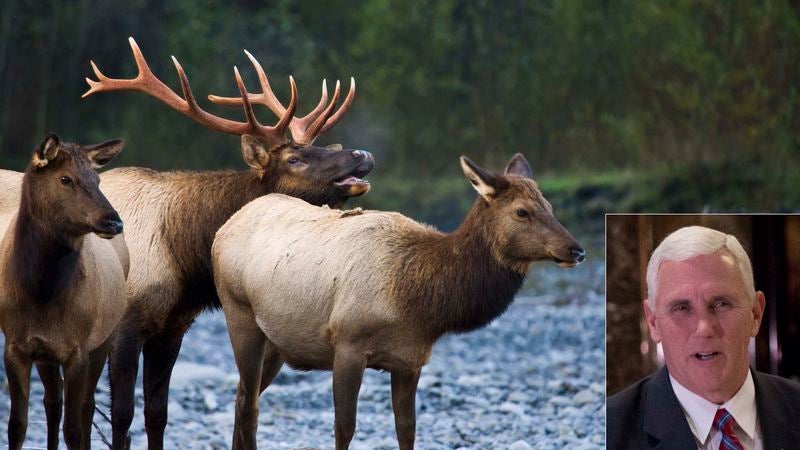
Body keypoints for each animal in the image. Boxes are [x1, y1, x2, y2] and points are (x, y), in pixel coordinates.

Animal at [0, 134, 127, 450]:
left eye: (97, 179)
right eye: (65, 178)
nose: (114, 222)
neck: (42, 295)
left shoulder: (78, 348)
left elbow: (73, 428)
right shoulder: (17, 344)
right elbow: (16, 426)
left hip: (105, 336)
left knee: (87, 406)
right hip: (47, 355)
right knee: (52, 403)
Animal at [80, 38, 372, 450]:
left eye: (330, 147)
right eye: (294, 158)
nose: (362, 154)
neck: (185, 258)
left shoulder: (173, 327)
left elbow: (157, 414)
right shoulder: (125, 323)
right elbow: (122, 414)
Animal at [211, 153, 588, 448]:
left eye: (550, 207)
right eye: (522, 212)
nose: (577, 250)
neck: (417, 302)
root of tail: (226, 225)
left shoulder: (411, 360)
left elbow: (407, 430)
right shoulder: (347, 342)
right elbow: (344, 427)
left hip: (277, 343)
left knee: (242, 397)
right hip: (239, 313)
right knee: (249, 405)